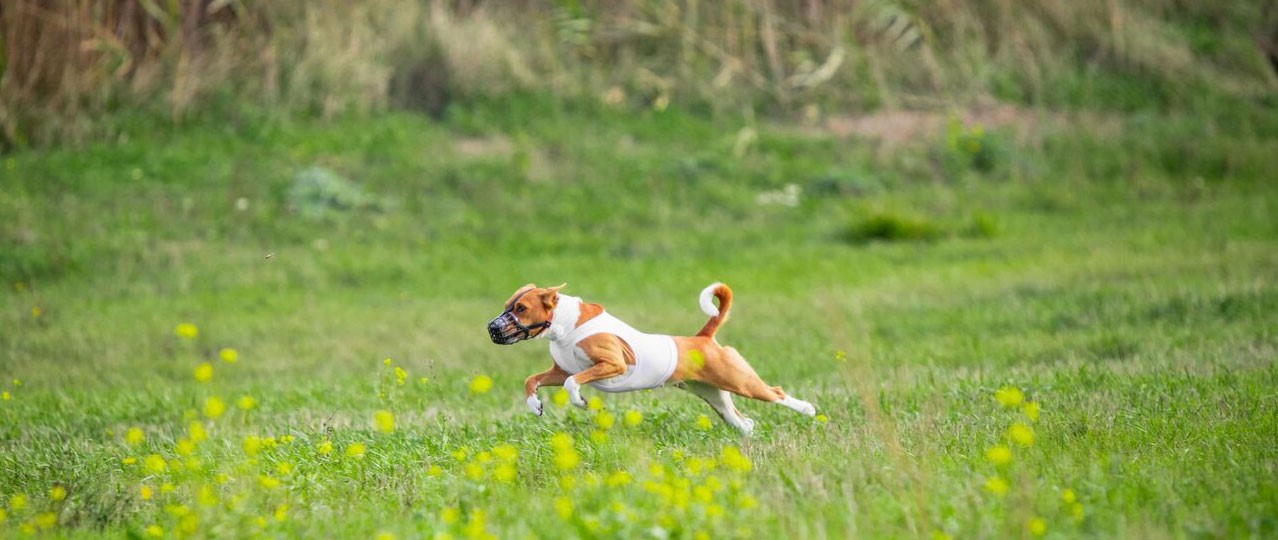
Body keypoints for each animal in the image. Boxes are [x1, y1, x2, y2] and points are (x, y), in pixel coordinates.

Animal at [483, 280, 823, 434]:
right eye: (507, 305)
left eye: (521, 308)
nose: (493, 328)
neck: (567, 327)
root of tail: (702, 338)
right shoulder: (560, 369)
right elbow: (532, 380)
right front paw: (535, 405)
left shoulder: (613, 364)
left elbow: (573, 384)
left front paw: (580, 401)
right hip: (714, 395)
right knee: (742, 420)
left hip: (740, 381)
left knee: (775, 393)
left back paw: (807, 409)